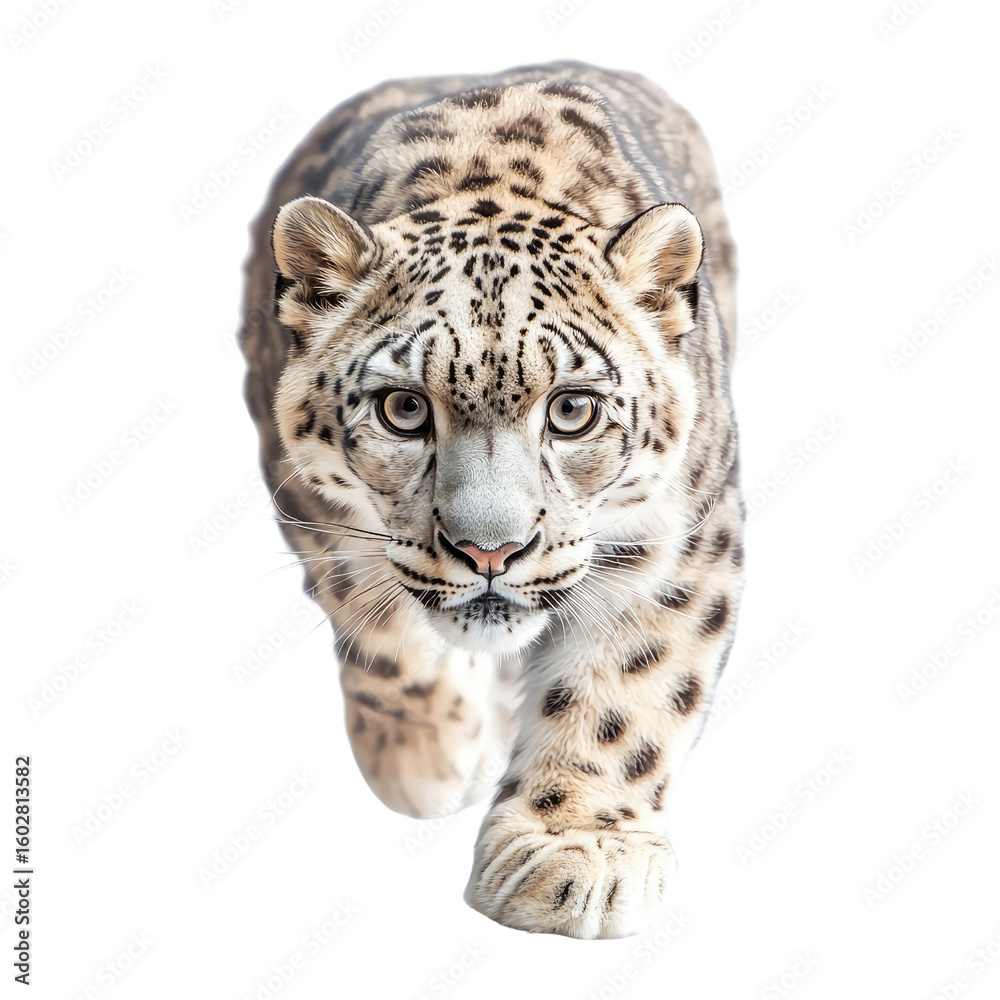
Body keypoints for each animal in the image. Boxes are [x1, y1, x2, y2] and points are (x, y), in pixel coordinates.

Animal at [239, 61, 743, 939]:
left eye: (572, 410)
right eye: (403, 408)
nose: (490, 552)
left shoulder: (677, 537)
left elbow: (630, 687)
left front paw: (575, 852)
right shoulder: (311, 508)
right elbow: (380, 634)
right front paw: (425, 761)